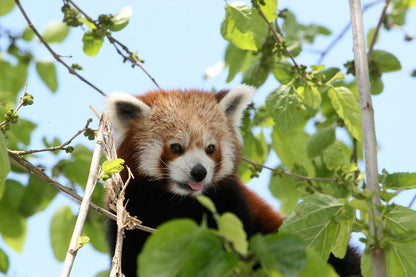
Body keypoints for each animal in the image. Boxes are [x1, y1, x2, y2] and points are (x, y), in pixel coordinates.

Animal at [105, 85, 360, 274]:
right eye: (176, 147)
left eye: (210, 148)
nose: (199, 172)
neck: (179, 201)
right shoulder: (131, 210)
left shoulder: (233, 207)